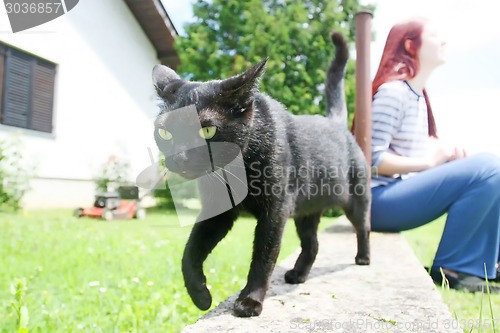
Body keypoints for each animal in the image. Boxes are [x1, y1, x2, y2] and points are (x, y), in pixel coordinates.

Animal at [152, 31, 372, 316]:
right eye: (165, 133)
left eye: (207, 130)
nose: (179, 157)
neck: (235, 172)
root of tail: (335, 123)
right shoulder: (218, 211)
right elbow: (190, 251)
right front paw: (200, 295)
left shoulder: (275, 212)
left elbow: (263, 257)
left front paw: (250, 300)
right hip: (306, 212)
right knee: (312, 244)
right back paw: (298, 274)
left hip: (356, 200)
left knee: (363, 227)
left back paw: (363, 258)